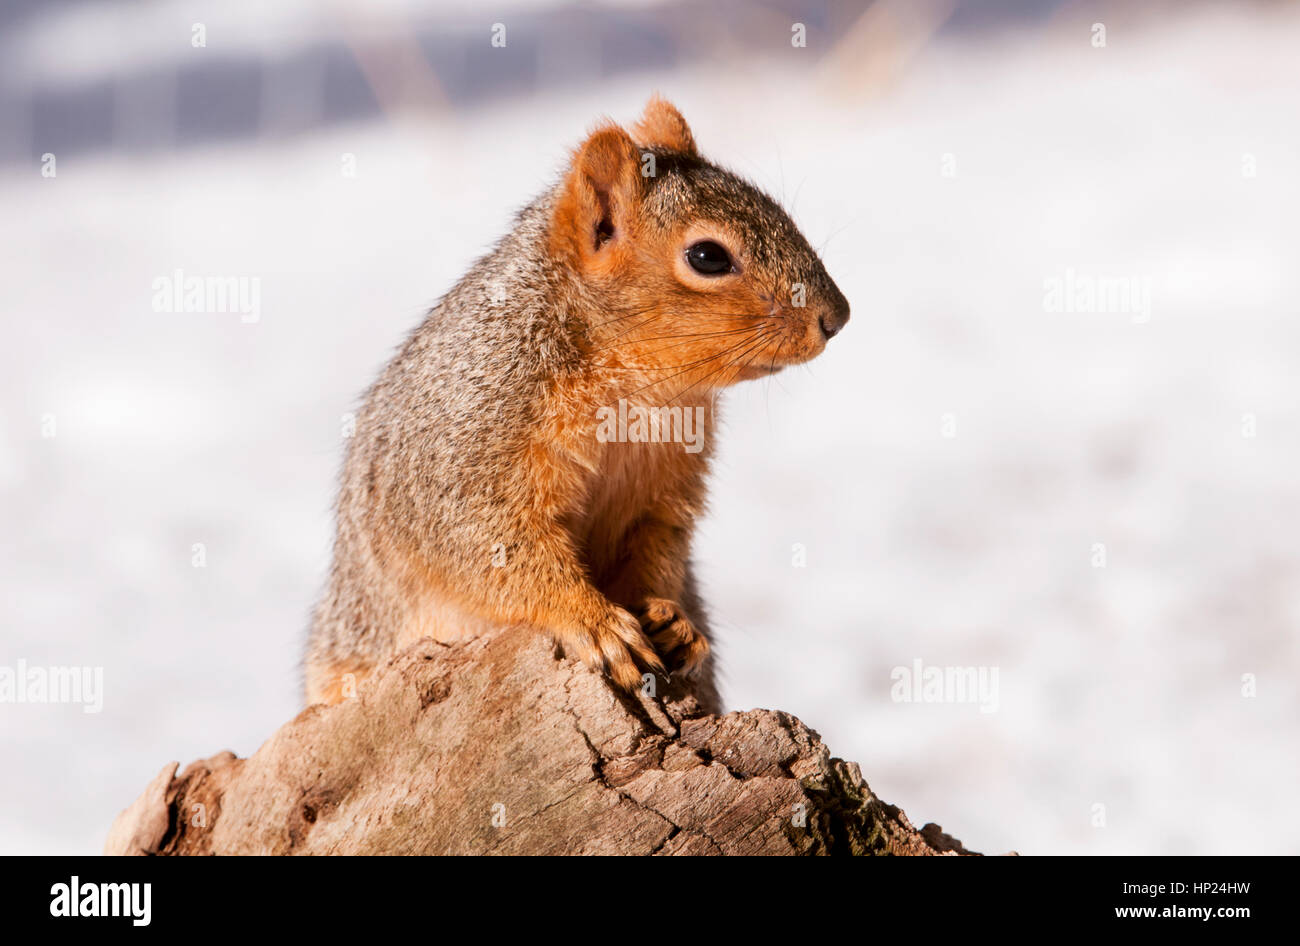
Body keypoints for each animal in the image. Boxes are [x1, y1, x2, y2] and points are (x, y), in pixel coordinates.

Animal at [305, 98, 852, 717]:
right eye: (708, 256)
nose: (838, 316)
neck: (634, 388)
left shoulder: (663, 490)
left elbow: (658, 550)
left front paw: (673, 621)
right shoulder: (465, 448)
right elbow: (487, 548)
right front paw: (594, 623)